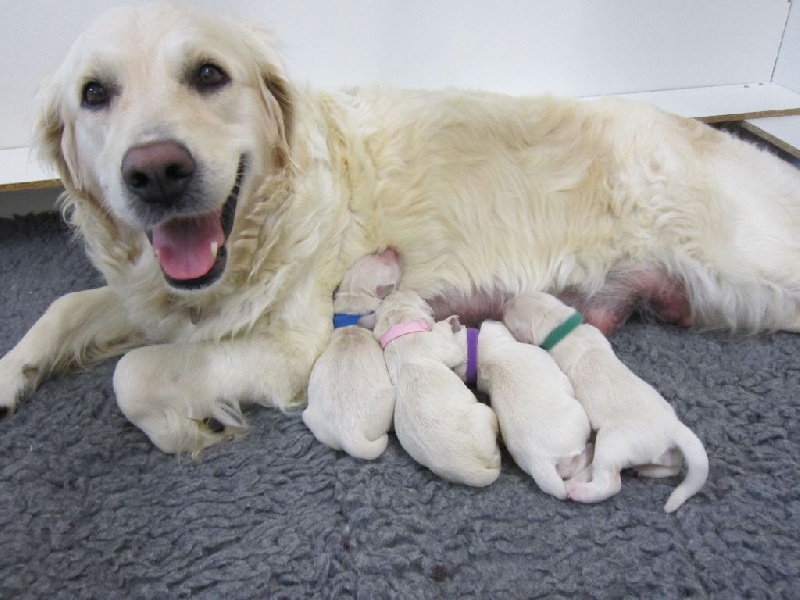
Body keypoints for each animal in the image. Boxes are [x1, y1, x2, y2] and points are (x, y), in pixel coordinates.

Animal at [300, 248, 400, 460]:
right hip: (389, 400)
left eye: (375, 254)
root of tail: (348, 434)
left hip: (312, 419)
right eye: (388, 264)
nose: (392, 249)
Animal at [376, 288, 500, 486]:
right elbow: (454, 351)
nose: (394, 290)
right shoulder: (442, 347)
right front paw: (449, 321)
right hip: (483, 414)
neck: (402, 335)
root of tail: (470, 470)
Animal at [504, 290, 708, 510]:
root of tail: (673, 427)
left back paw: (580, 490)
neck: (562, 325)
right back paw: (644, 470)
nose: (504, 304)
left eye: (510, 313)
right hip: (661, 451)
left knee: (610, 482)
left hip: (612, 442)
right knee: (674, 465)